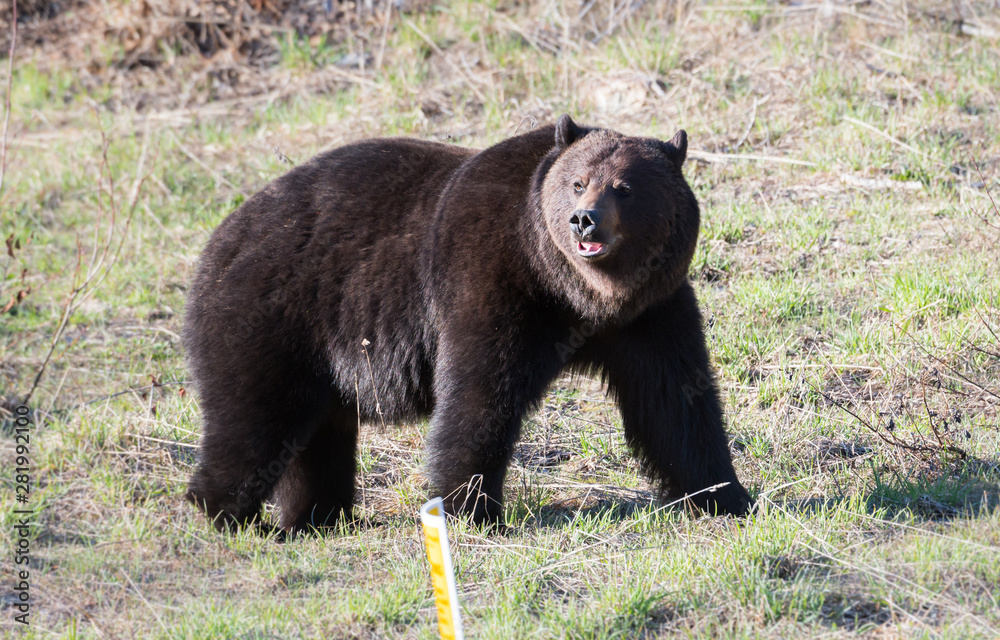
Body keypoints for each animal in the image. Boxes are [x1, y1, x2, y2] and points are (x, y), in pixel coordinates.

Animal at [186, 116, 752, 536]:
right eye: (577, 182)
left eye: (625, 188)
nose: (583, 219)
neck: (577, 293)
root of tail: (218, 239)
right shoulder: (491, 278)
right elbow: (480, 393)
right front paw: (470, 508)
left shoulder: (650, 313)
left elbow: (676, 400)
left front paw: (727, 495)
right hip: (277, 314)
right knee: (255, 418)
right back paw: (226, 513)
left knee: (315, 435)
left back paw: (317, 517)